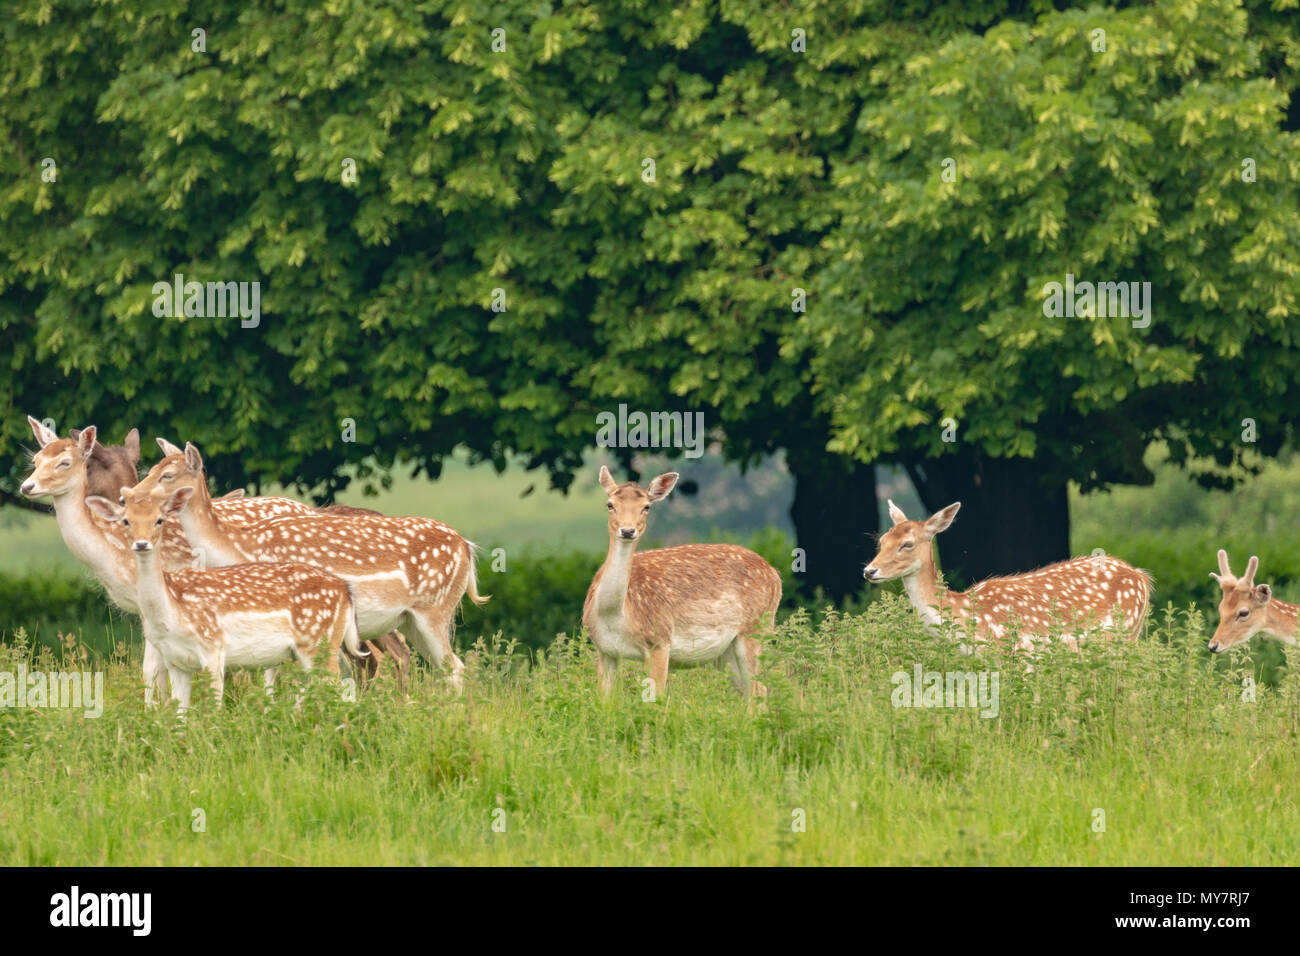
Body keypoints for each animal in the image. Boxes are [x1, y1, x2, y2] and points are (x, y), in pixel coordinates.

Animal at [81, 486, 366, 712]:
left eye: (159, 520)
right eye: (126, 521)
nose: (141, 544)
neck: (171, 611)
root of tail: (345, 590)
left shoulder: (213, 648)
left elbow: (214, 710)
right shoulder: (176, 661)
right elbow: (180, 715)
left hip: (319, 642)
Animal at [133, 444, 488, 691]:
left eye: (167, 475)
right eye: (153, 467)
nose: (131, 495)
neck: (241, 547)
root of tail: (467, 548)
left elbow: (275, 674)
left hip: (435, 609)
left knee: (453, 666)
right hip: (410, 619)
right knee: (433, 663)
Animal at [582, 468, 780, 697]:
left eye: (646, 506)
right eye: (610, 504)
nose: (628, 530)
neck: (615, 615)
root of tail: (775, 575)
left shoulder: (659, 640)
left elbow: (656, 697)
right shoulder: (604, 650)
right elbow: (602, 698)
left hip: (755, 628)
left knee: (758, 689)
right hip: (726, 651)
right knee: (751, 690)